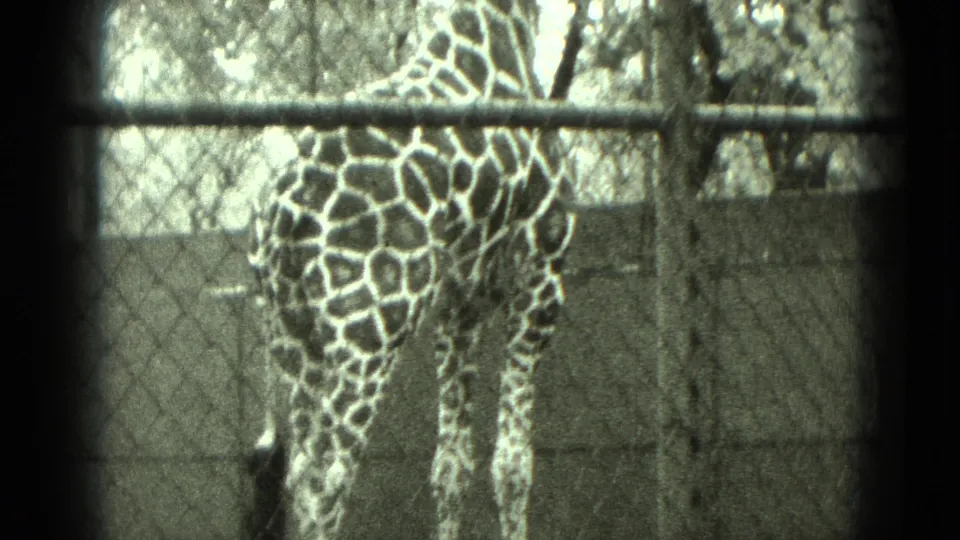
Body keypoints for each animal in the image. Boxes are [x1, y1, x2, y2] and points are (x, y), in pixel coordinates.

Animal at [248, 0, 577, 538]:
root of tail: (283, 211)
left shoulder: (460, 305)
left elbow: (451, 466)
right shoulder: (541, 275)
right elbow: (513, 464)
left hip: (296, 341)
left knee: (302, 473)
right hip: (369, 333)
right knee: (331, 478)